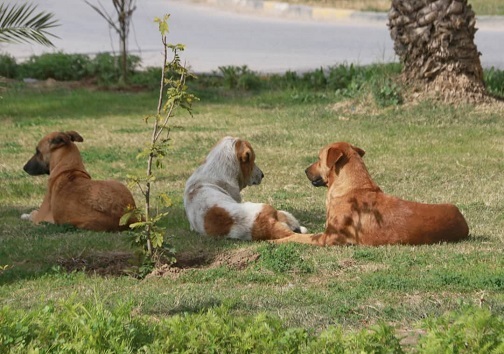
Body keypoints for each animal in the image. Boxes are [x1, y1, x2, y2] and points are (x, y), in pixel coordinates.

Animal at [276, 141, 468, 246]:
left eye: (319, 159)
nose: (304, 170)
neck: (352, 186)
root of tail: (463, 222)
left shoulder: (328, 238)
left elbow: (299, 238)